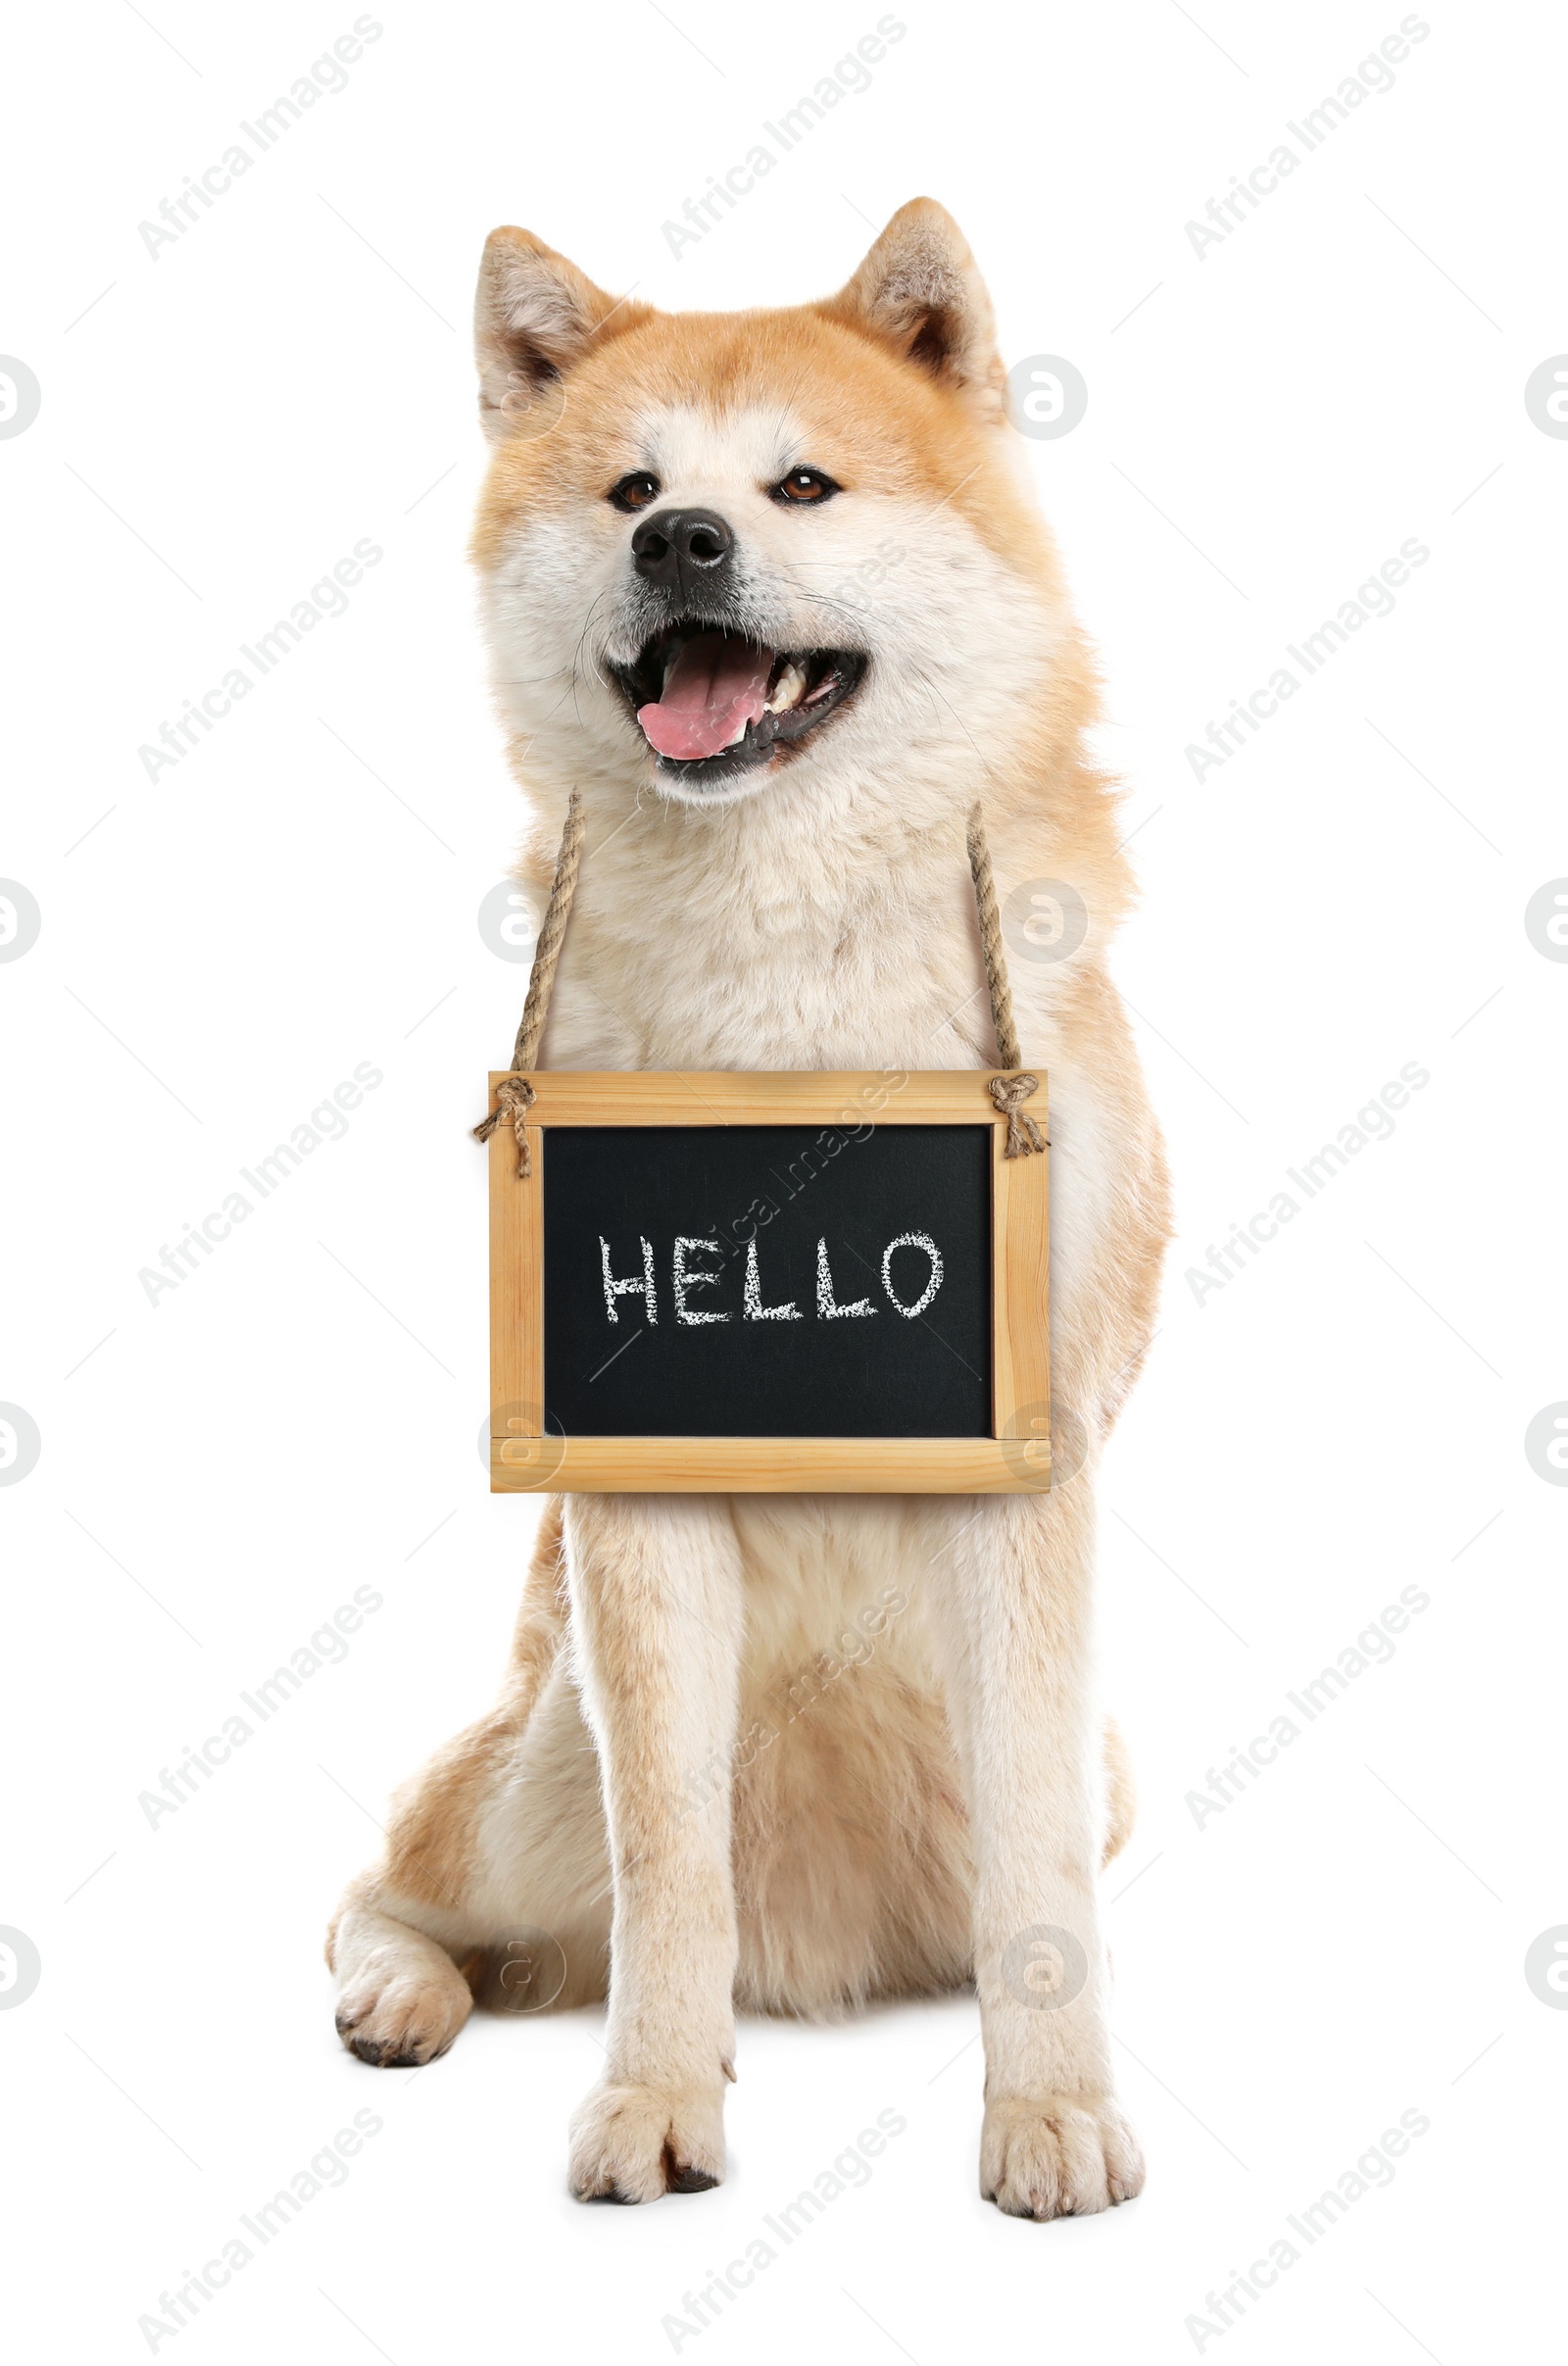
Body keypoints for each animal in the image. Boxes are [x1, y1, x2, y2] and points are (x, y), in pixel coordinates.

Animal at [328, 203, 1163, 2214]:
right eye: (635, 487)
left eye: (797, 486)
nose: (680, 542)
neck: (788, 978)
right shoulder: (633, 1495)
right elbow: (671, 1859)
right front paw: (652, 2096)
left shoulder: (1036, 1484)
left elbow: (1038, 1874)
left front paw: (1049, 2113)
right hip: (531, 1771)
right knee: (402, 1881)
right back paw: (405, 1990)